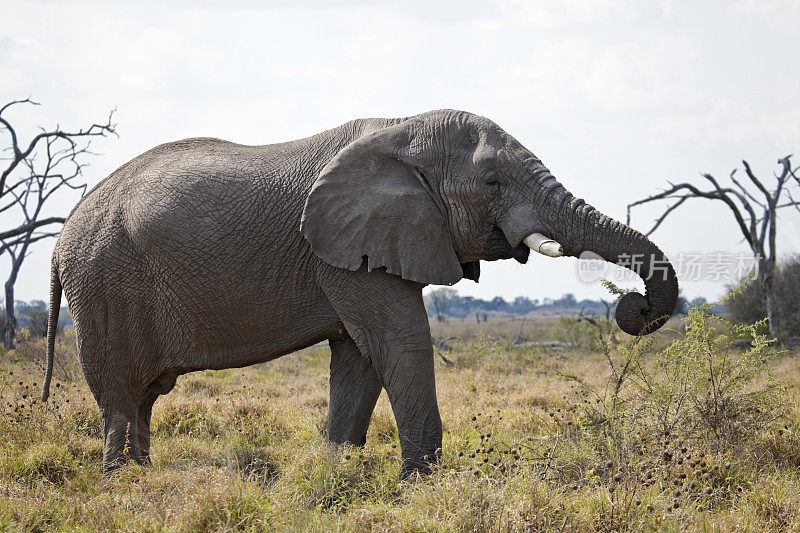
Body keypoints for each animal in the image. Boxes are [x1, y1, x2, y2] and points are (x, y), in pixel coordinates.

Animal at [40, 108, 680, 474]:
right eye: (493, 181)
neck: (400, 134)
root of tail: (63, 234)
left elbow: (360, 358)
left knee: (146, 395)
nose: (631, 307)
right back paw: (123, 484)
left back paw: (144, 476)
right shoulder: (348, 249)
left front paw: (338, 472)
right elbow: (400, 344)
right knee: (121, 393)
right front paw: (422, 484)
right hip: (104, 284)